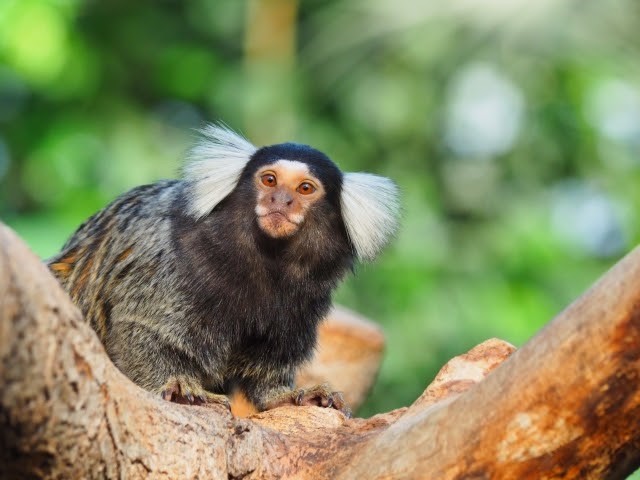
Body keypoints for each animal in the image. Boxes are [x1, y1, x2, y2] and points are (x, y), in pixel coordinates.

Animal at [48, 124, 400, 416]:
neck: (267, 260)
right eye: (269, 180)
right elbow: (140, 328)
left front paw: (284, 395)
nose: (280, 200)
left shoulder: (306, 298)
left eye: (304, 188)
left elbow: (266, 370)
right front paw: (177, 385)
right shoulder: (164, 258)